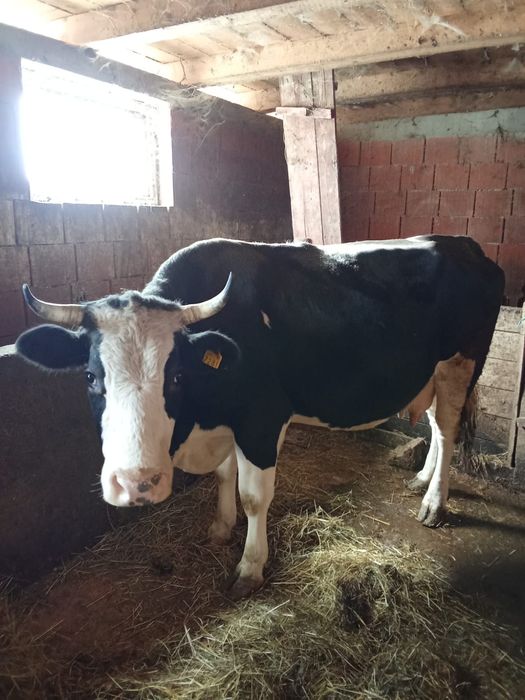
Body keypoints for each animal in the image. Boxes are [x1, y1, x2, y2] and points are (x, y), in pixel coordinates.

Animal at [16, 235, 504, 598]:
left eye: (176, 376)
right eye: (91, 377)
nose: (137, 483)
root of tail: (464, 244)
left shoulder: (261, 420)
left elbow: (254, 496)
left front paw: (249, 567)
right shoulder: (230, 425)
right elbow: (224, 475)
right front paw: (220, 526)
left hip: (461, 363)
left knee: (448, 429)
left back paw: (435, 503)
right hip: (435, 371)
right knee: (438, 428)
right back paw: (421, 479)